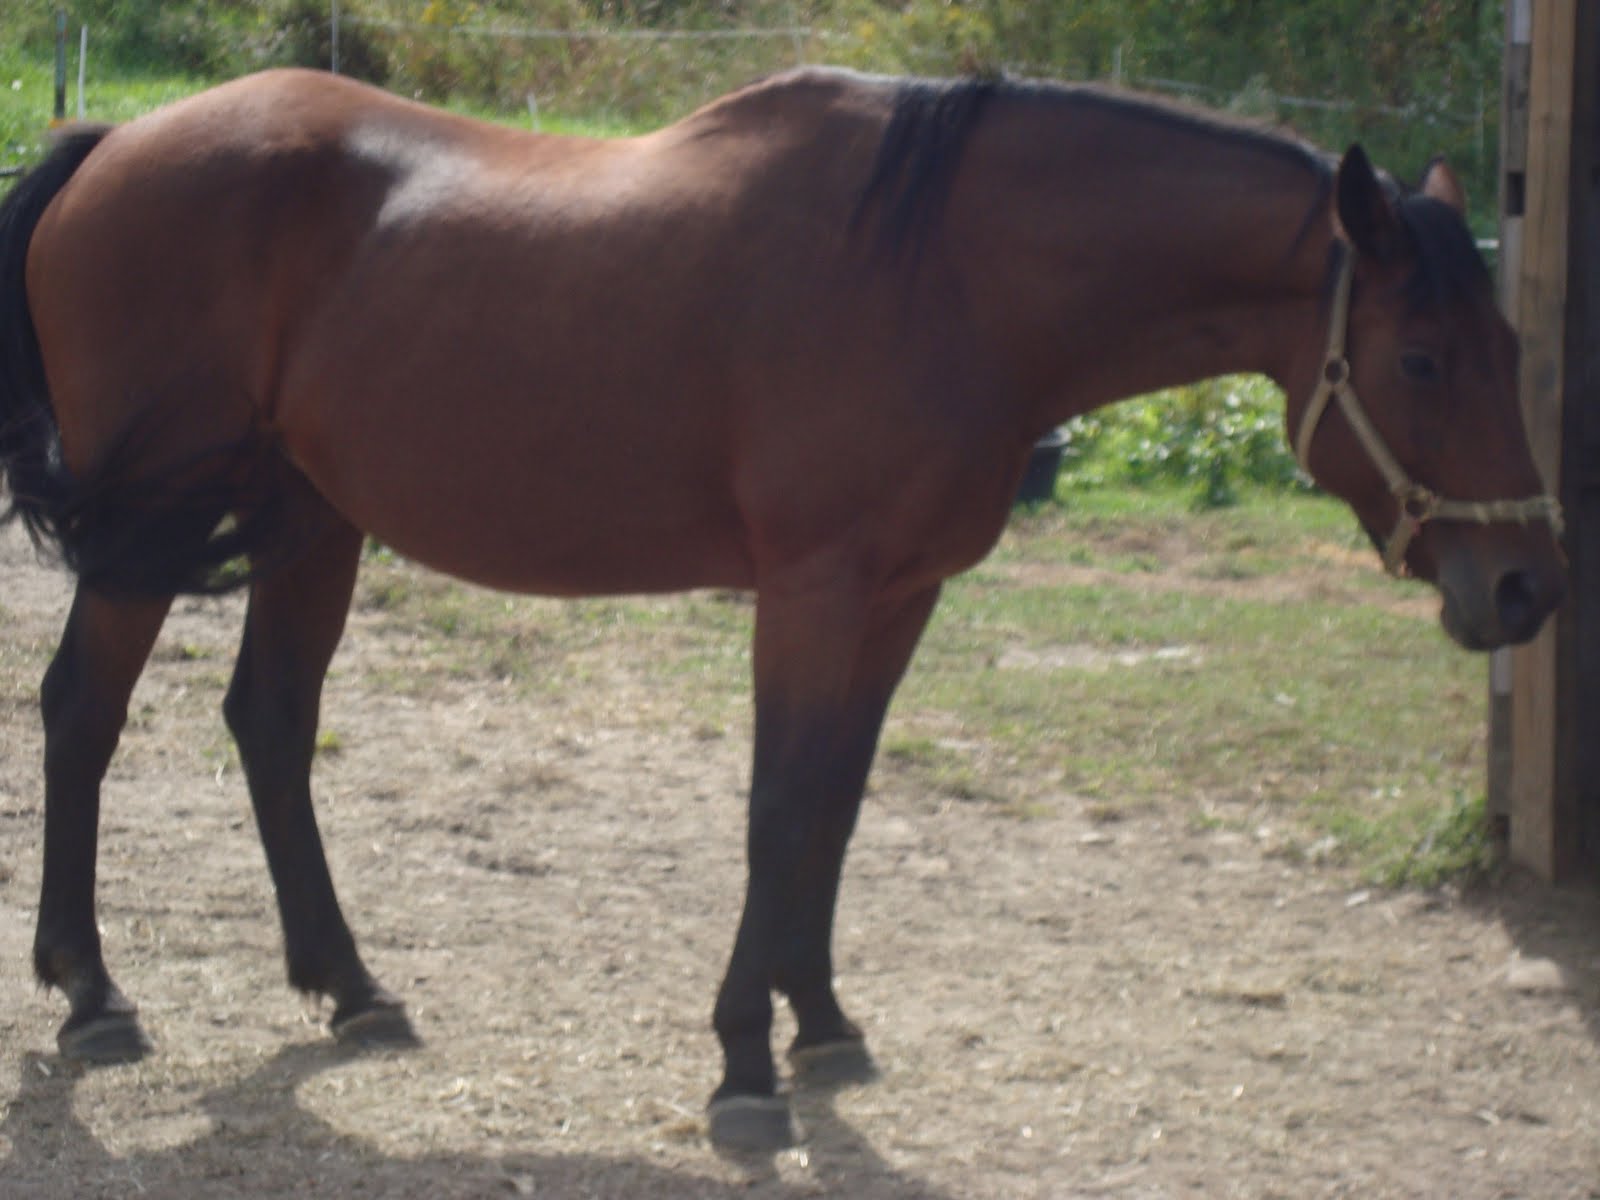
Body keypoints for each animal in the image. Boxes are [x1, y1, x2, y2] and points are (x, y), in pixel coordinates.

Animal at [0, 66, 1564, 1150]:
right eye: (1420, 359)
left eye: (1507, 346)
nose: (1527, 584)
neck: (945, 272)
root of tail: (111, 146)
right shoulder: (814, 589)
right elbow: (776, 803)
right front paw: (746, 1066)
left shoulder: (901, 598)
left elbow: (838, 805)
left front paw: (820, 1021)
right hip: (154, 526)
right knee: (83, 713)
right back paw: (91, 992)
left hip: (312, 516)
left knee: (269, 723)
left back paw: (351, 985)